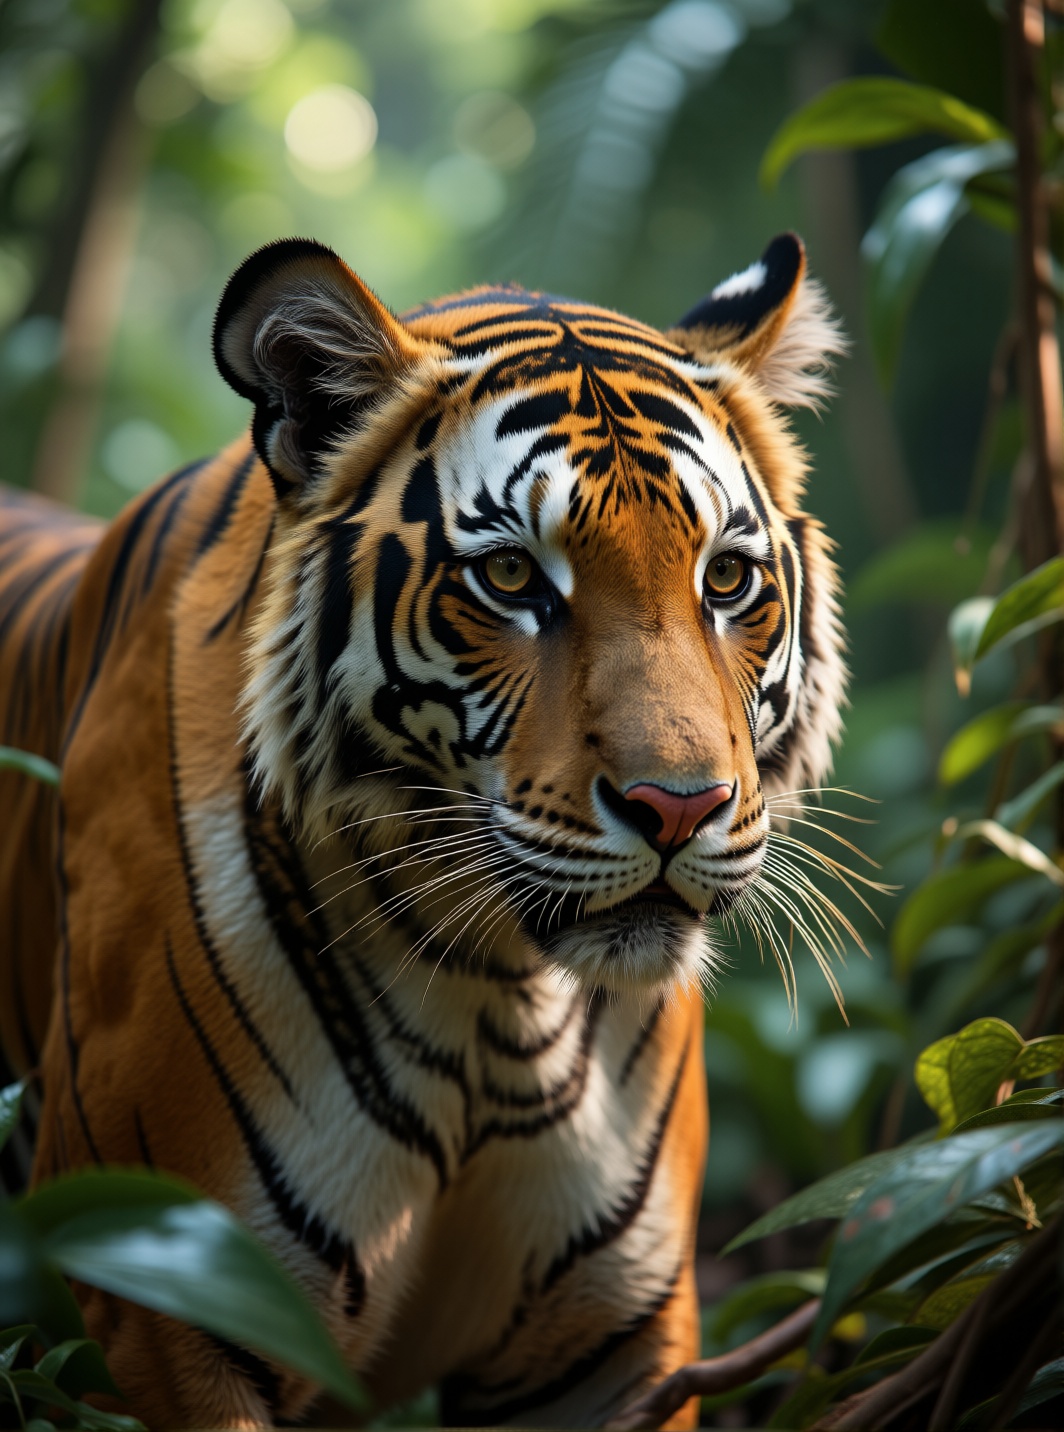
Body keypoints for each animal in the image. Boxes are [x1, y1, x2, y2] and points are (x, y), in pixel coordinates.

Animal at [0, 231, 846, 1429]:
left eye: (725, 577)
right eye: (511, 575)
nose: (679, 807)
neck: (499, 1010)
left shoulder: (616, 1338)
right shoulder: (166, 1302)